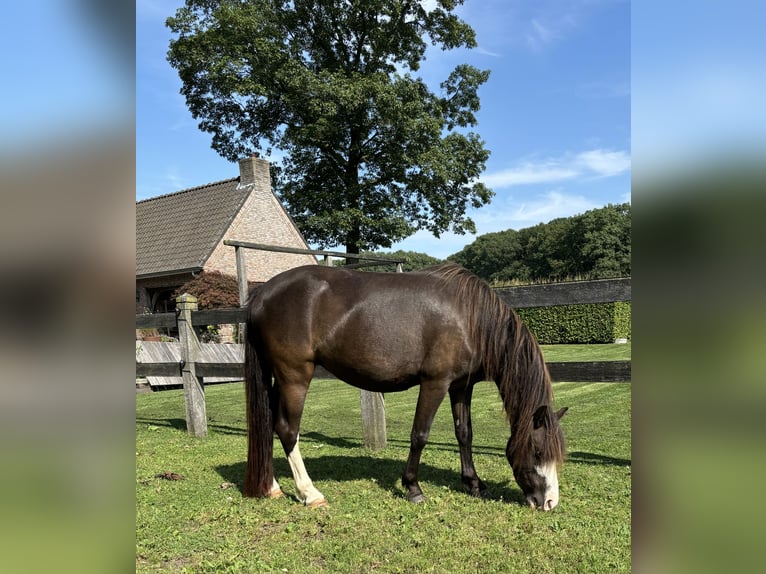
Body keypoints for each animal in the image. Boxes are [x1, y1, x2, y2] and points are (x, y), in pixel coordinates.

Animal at [243, 264, 568, 510]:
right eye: (538, 451)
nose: (549, 502)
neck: (471, 318)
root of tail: (262, 294)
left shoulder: (460, 386)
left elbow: (465, 434)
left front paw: (474, 483)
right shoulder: (435, 383)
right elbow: (419, 435)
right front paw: (413, 487)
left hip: (277, 378)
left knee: (268, 423)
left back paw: (271, 486)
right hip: (295, 376)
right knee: (287, 429)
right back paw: (309, 493)